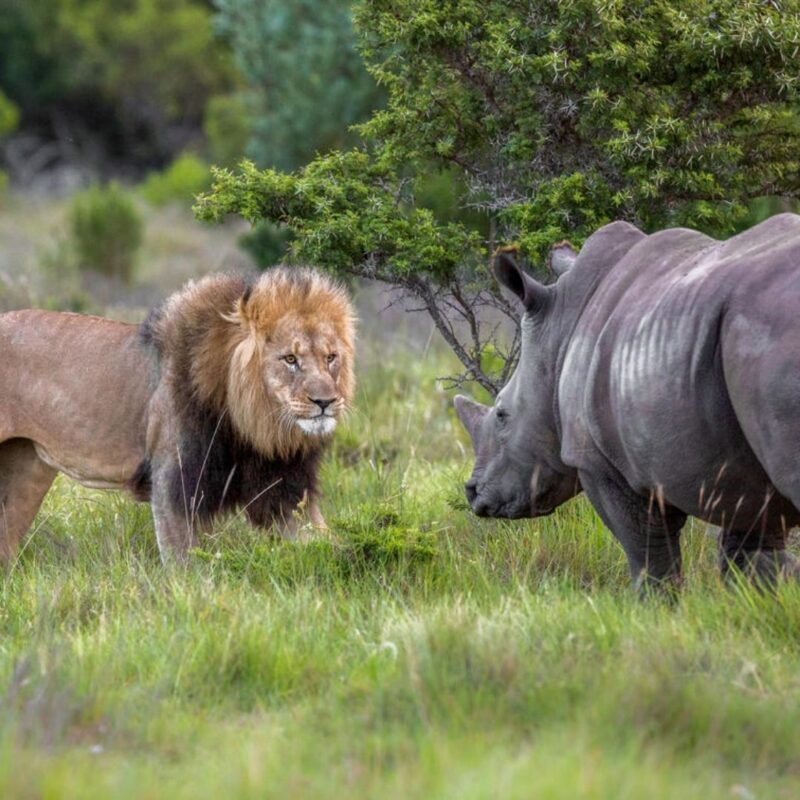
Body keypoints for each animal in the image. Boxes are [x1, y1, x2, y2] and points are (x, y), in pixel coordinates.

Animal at [0, 267, 356, 563]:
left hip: (27, 470)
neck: (256, 428)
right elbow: (183, 566)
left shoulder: (285, 492)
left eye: (331, 358)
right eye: (290, 359)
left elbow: (330, 546)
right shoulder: (173, 484)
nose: (325, 401)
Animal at [455, 214, 800, 589]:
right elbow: (752, 558)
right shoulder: (741, 476)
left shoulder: (599, 462)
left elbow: (649, 557)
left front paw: (656, 603)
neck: (561, 332)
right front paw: (757, 597)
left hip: (767, 329)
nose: (472, 492)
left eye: (503, 414)